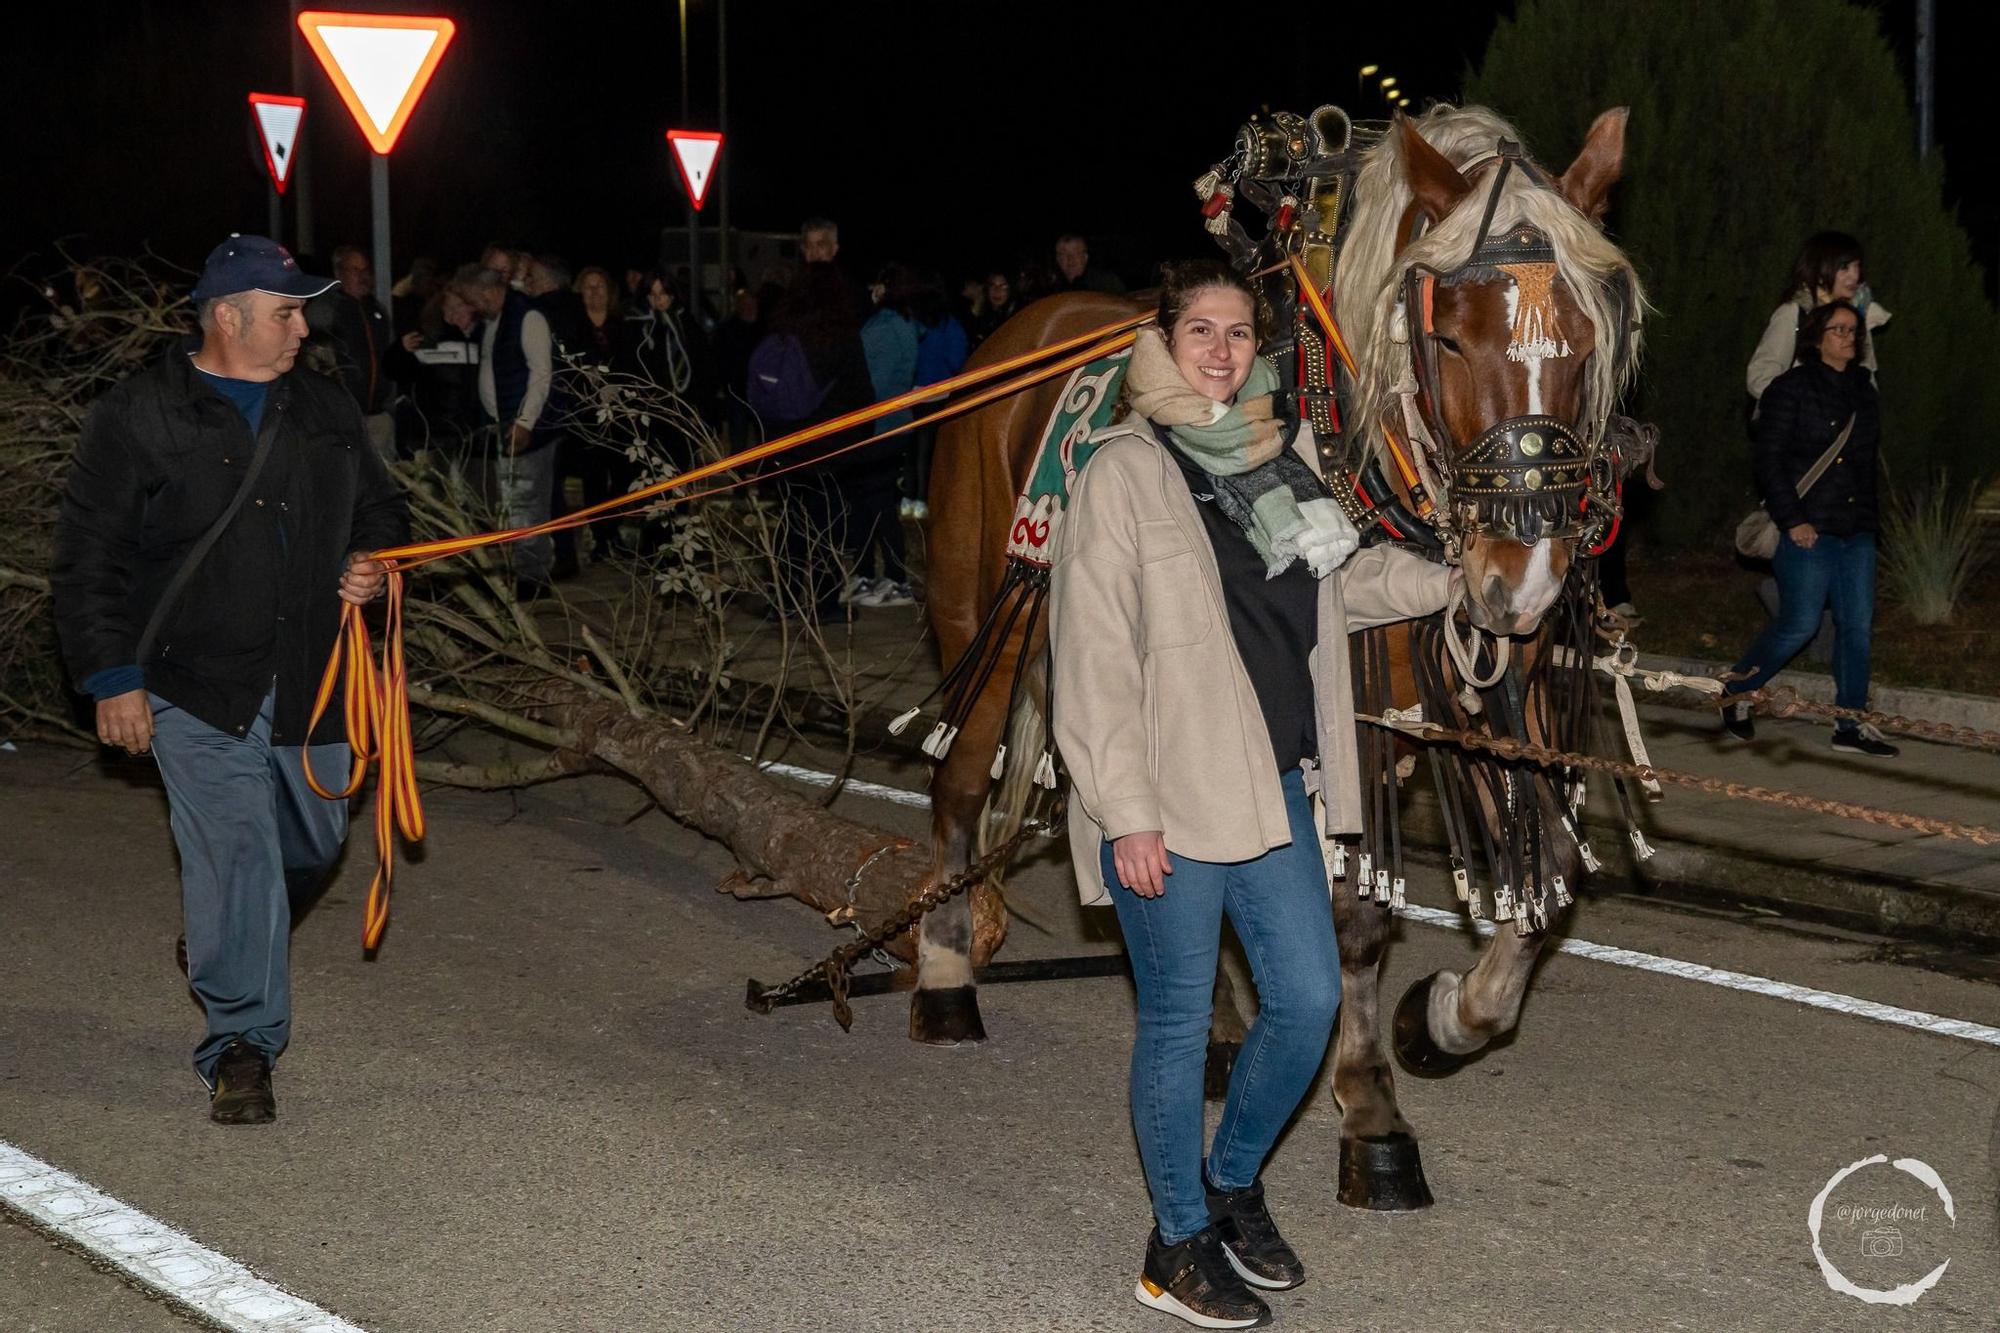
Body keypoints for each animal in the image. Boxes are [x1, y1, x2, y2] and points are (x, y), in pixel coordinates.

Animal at [916, 104, 1648, 1200]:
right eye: (1447, 333)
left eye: (1587, 337)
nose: (1518, 579)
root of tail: (1016, 331)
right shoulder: (1343, 708)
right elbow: (1353, 919)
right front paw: (1370, 1106)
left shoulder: (1470, 696)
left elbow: (1547, 874)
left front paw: (1441, 1017)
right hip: (981, 608)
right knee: (962, 781)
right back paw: (944, 972)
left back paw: (1219, 1027)